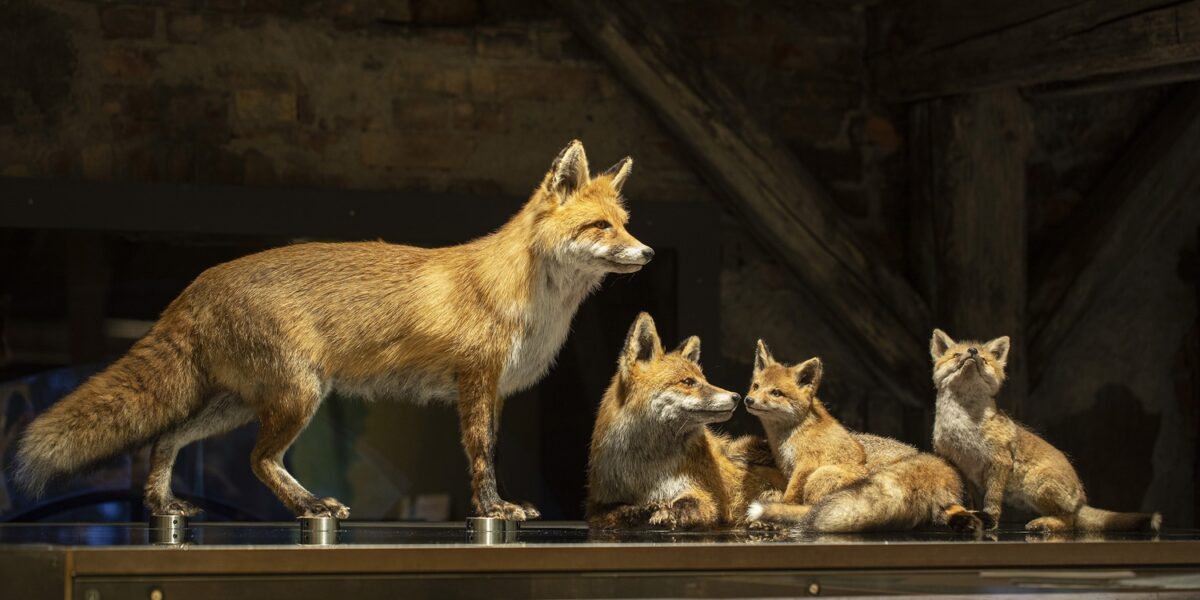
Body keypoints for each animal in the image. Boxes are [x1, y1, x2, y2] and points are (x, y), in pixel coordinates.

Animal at [14, 140, 654, 521]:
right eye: (600, 226)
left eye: (625, 223)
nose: (646, 253)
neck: (528, 296)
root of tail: (195, 285)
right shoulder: (475, 379)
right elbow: (481, 453)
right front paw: (493, 511)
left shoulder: (492, 390)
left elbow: (486, 451)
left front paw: (490, 507)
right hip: (298, 395)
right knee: (256, 461)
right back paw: (309, 507)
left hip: (241, 402)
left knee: (166, 438)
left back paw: (164, 506)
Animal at [586, 313, 785, 530]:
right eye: (688, 382)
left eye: (704, 380)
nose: (737, 397)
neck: (647, 470)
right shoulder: (596, 507)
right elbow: (620, 511)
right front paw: (643, 510)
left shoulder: (702, 494)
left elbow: (687, 504)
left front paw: (667, 512)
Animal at [930, 329, 1162, 533]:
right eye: (956, 355)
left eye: (985, 360)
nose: (972, 352)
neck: (963, 424)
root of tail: (1081, 501)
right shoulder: (961, 467)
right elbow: (971, 501)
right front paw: (969, 517)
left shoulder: (999, 460)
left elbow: (992, 499)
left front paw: (990, 521)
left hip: (1036, 484)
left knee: (1070, 522)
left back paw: (1044, 524)